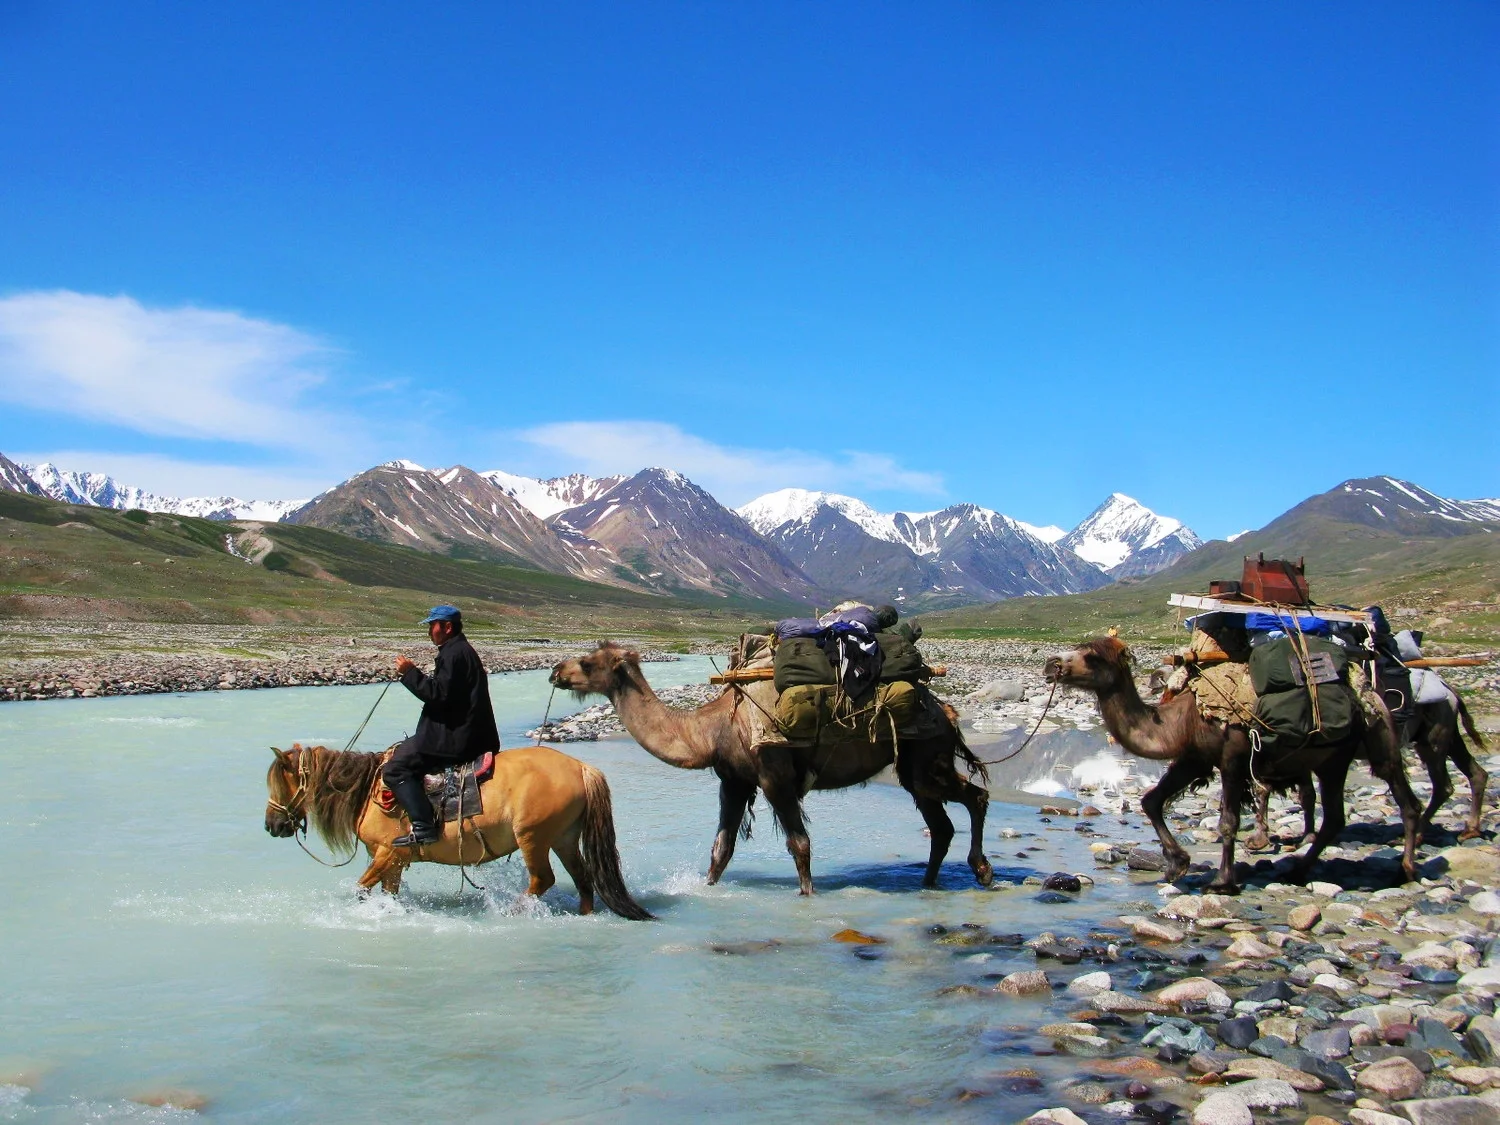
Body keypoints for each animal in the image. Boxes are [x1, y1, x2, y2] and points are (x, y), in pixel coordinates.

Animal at [548, 643, 992, 895]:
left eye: (586, 662)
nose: (555, 671)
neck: (710, 730)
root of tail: (947, 711)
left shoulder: (774, 776)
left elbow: (799, 843)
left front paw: (807, 895)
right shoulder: (733, 780)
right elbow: (721, 848)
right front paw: (708, 887)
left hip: (926, 756)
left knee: (976, 796)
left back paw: (983, 871)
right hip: (913, 767)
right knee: (941, 824)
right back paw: (929, 884)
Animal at [1043, 636, 1422, 891]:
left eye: (1092, 656)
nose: (1052, 664)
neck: (1180, 720)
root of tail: (1370, 694)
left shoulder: (1232, 756)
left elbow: (1228, 821)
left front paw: (1223, 880)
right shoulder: (1195, 758)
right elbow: (1151, 800)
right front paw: (1177, 865)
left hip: (1362, 746)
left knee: (1397, 800)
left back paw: (1403, 869)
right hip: (1332, 758)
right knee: (1343, 815)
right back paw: (1301, 871)